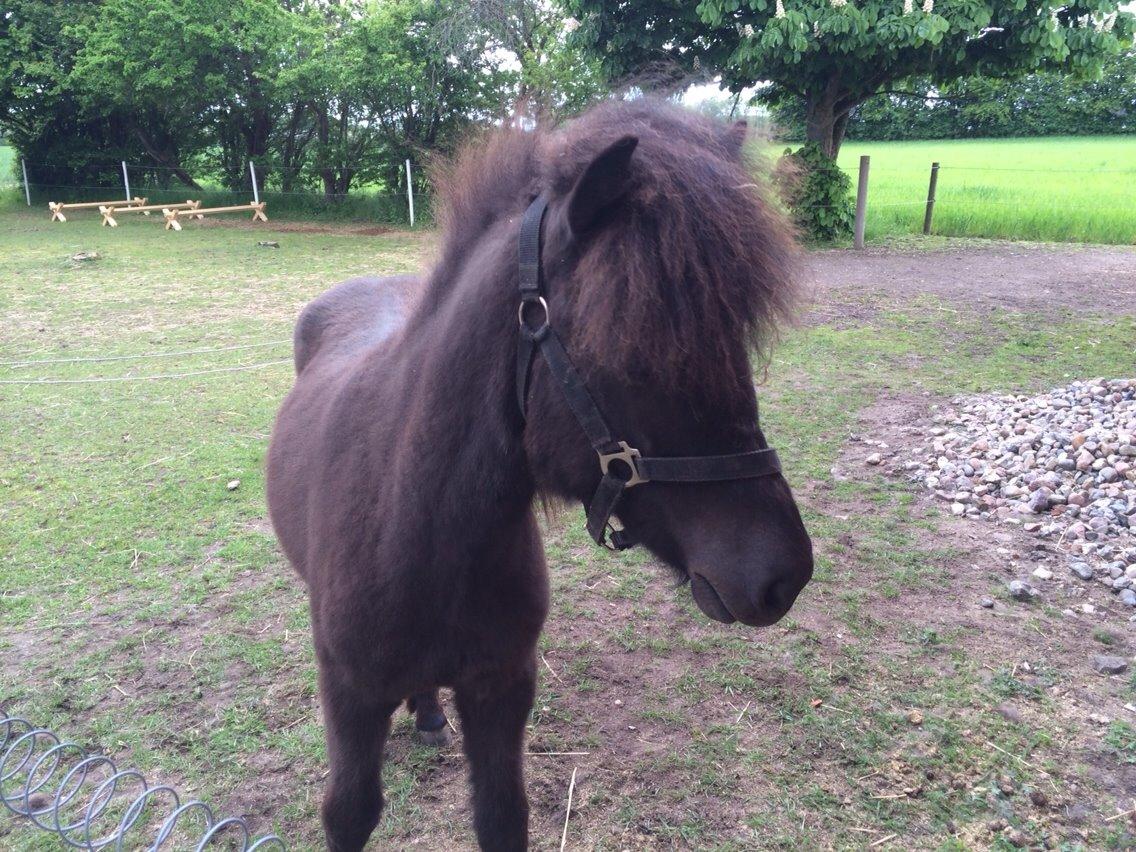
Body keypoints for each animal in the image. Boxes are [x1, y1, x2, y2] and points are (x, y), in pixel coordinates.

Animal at [265, 98, 813, 849]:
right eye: (635, 351)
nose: (784, 574)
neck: (415, 525)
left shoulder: (502, 690)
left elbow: (503, 817)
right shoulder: (349, 697)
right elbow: (349, 812)